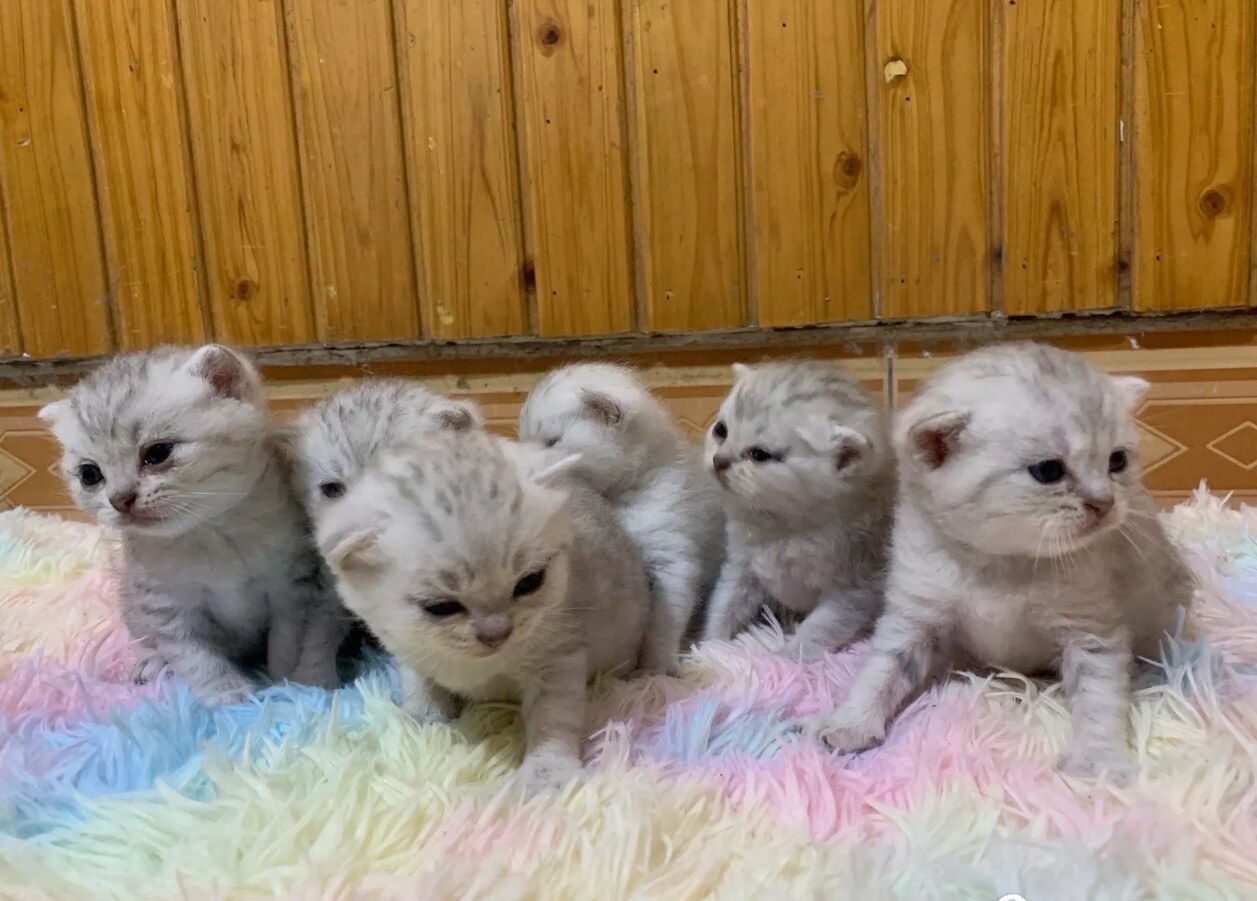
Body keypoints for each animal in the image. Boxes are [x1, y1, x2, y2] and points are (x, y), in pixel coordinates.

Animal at [39, 344, 349, 704]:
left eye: (158, 452)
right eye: (90, 475)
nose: (119, 499)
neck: (210, 533)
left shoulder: (292, 588)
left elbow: (287, 643)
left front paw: (285, 686)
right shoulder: (167, 608)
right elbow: (197, 659)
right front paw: (230, 696)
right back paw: (151, 663)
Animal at [318, 427, 651, 794]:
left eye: (530, 582)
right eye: (441, 607)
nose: (496, 632)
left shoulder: (559, 655)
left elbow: (553, 717)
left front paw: (547, 772)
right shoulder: (409, 650)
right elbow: (421, 685)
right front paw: (422, 726)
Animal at [701, 360, 895, 662]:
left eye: (759, 455)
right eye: (720, 430)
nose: (718, 461)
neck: (785, 525)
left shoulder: (856, 587)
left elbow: (817, 630)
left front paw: (786, 659)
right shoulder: (742, 567)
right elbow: (724, 605)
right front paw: (707, 650)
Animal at [797, 342, 1194, 783]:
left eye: (1117, 461)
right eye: (1049, 470)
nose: (1105, 504)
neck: (1001, 561)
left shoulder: (1092, 630)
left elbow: (1099, 697)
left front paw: (1097, 762)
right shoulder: (915, 613)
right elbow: (882, 669)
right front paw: (849, 722)